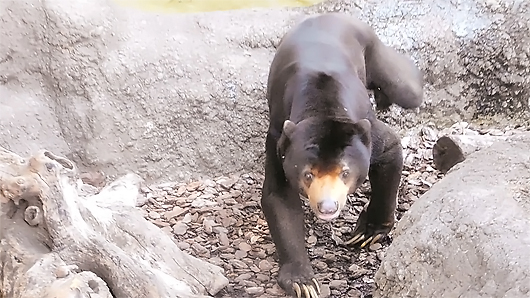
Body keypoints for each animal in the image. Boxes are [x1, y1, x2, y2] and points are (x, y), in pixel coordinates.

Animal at [258, 12, 422, 296]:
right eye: (308, 174)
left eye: (345, 173)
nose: (327, 207)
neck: (322, 103)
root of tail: (332, 15)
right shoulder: (278, 139)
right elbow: (279, 198)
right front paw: (303, 282)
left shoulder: (368, 132)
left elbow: (390, 150)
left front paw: (367, 232)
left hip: (375, 52)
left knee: (407, 87)